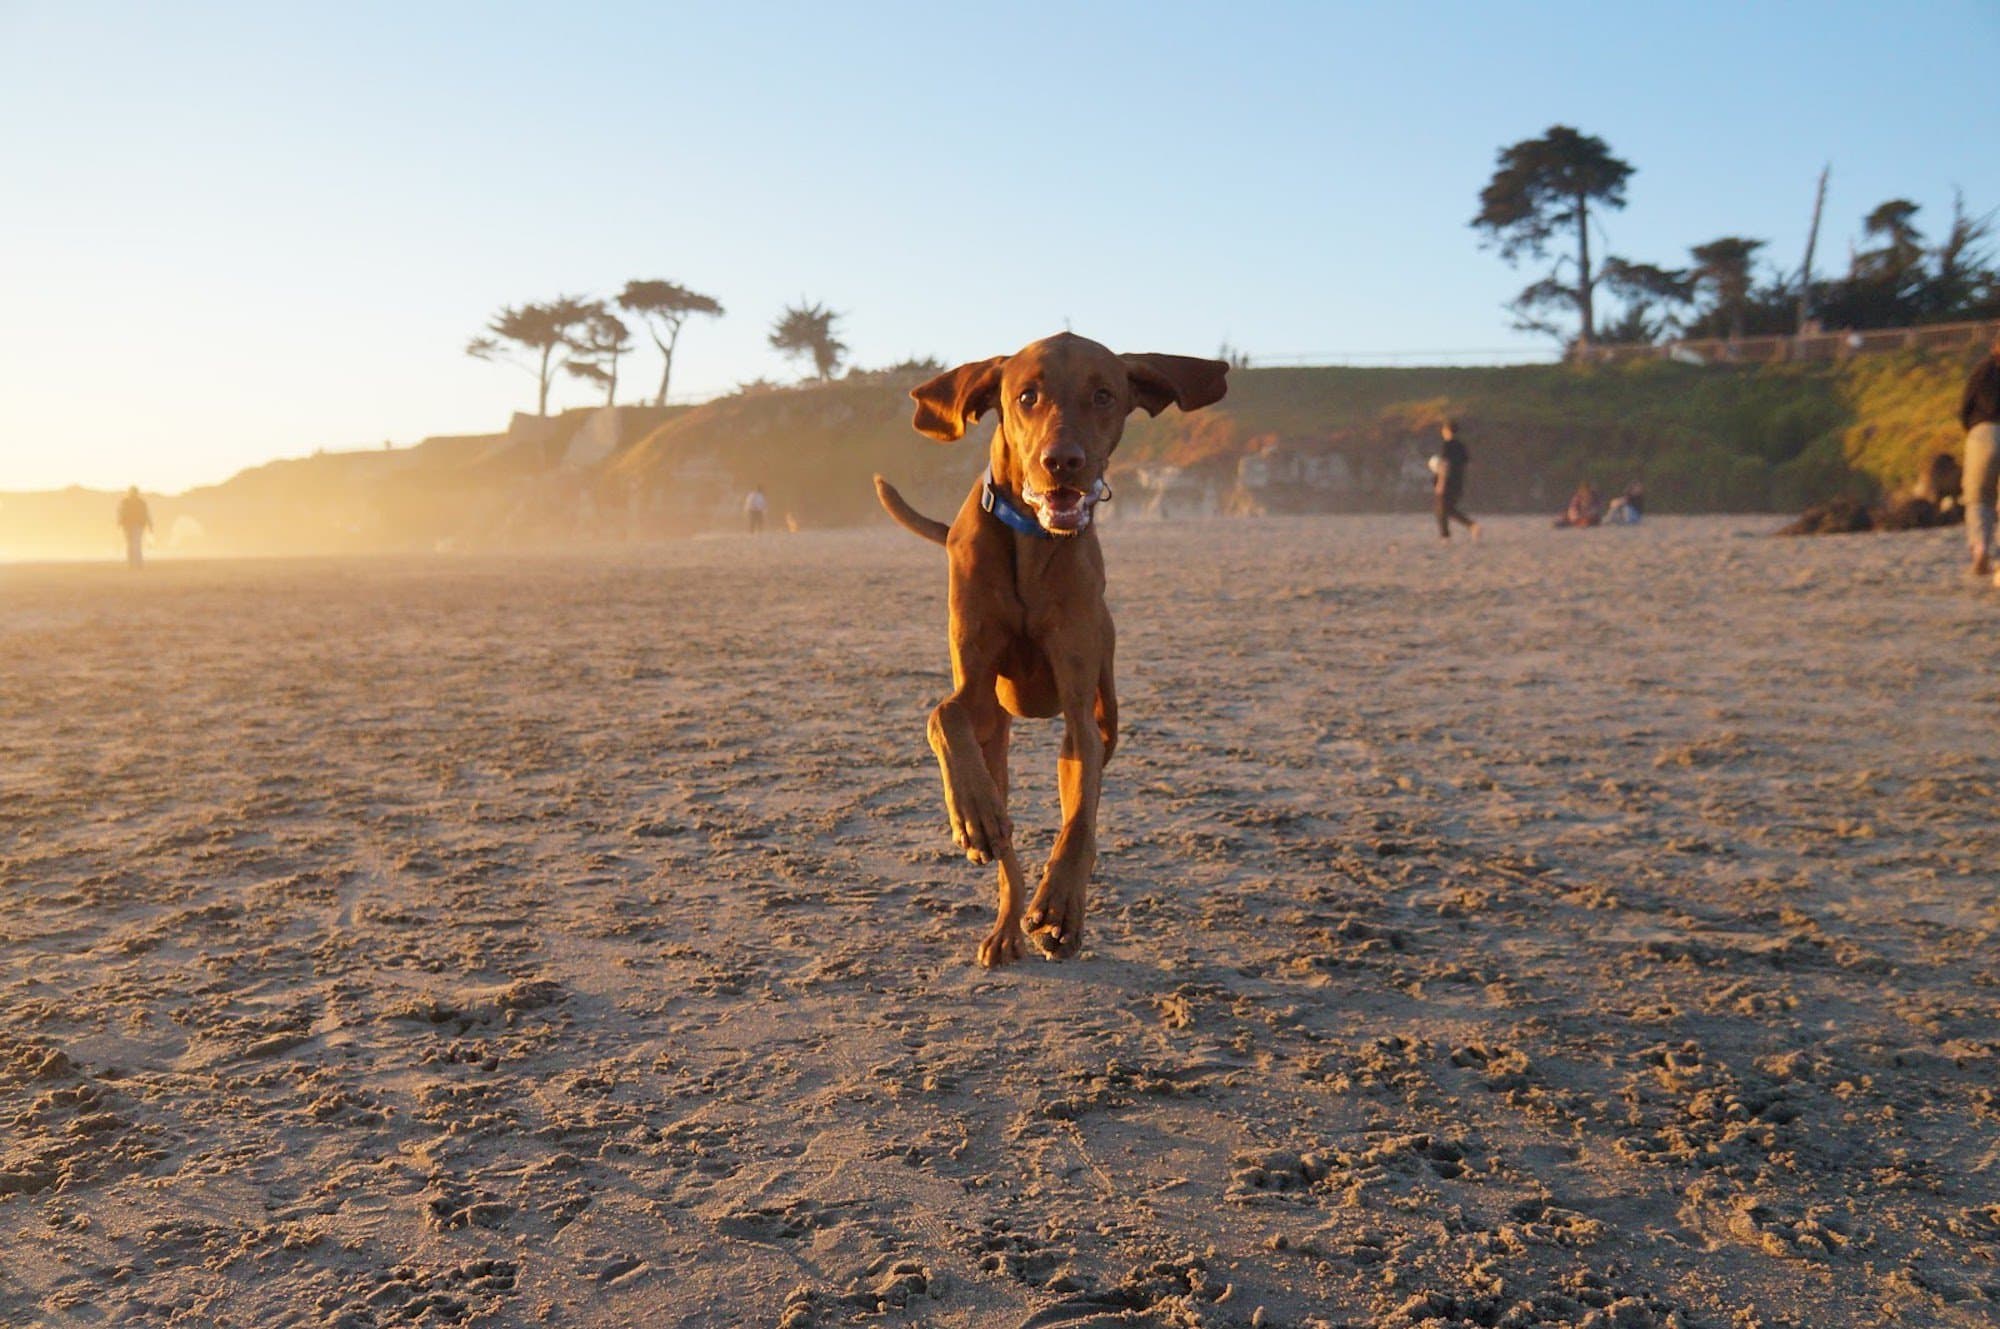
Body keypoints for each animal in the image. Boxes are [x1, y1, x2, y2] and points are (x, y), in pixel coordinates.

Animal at [880, 332, 1232, 964]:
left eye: (1104, 395)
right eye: (1027, 396)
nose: (1062, 461)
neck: (1032, 538)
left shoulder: (1078, 707)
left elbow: (1080, 819)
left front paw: (1062, 909)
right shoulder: (975, 688)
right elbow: (943, 713)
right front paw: (971, 814)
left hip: (1106, 702)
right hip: (997, 740)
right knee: (1005, 840)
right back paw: (1001, 912)